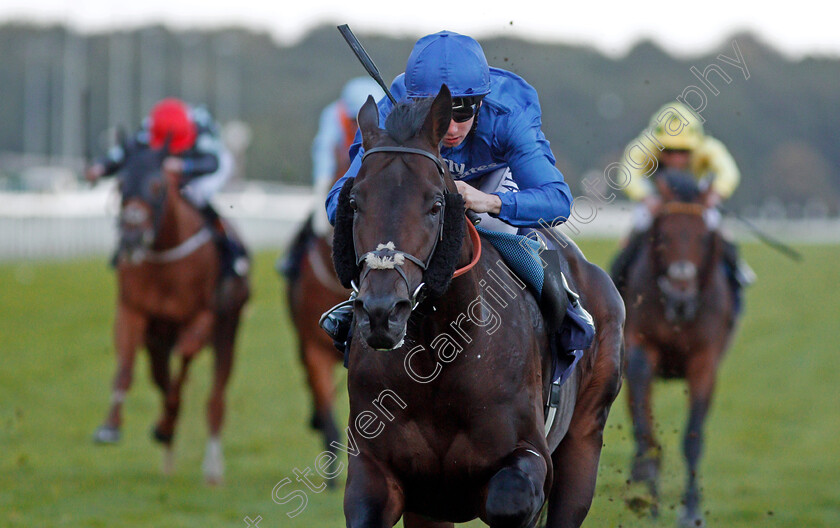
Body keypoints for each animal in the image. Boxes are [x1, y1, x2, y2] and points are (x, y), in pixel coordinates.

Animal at [92, 142, 249, 484]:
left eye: (157, 185)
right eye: (120, 184)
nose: (132, 236)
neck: (165, 255)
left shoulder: (202, 317)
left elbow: (185, 365)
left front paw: (167, 424)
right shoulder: (133, 312)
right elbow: (126, 368)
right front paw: (111, 427)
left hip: (227, 329)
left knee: (214, 395)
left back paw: (212, 468)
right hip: (157, 341)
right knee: (161, 376)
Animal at [328, 87, 624, 528]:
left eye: (436, 204)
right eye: (355, 201)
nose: (382, 311)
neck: (437, 356)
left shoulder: (530, 462)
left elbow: (510, 498)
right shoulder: (383, 475)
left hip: (585, 439)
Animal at [620, 171, 740, 524]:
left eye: (703, 238)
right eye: (663, 235)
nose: (681, 293)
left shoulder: (704, 361)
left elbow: (693, 438)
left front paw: (691, 509)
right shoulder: (641, 348)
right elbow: (644, 425)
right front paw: (650, 495)